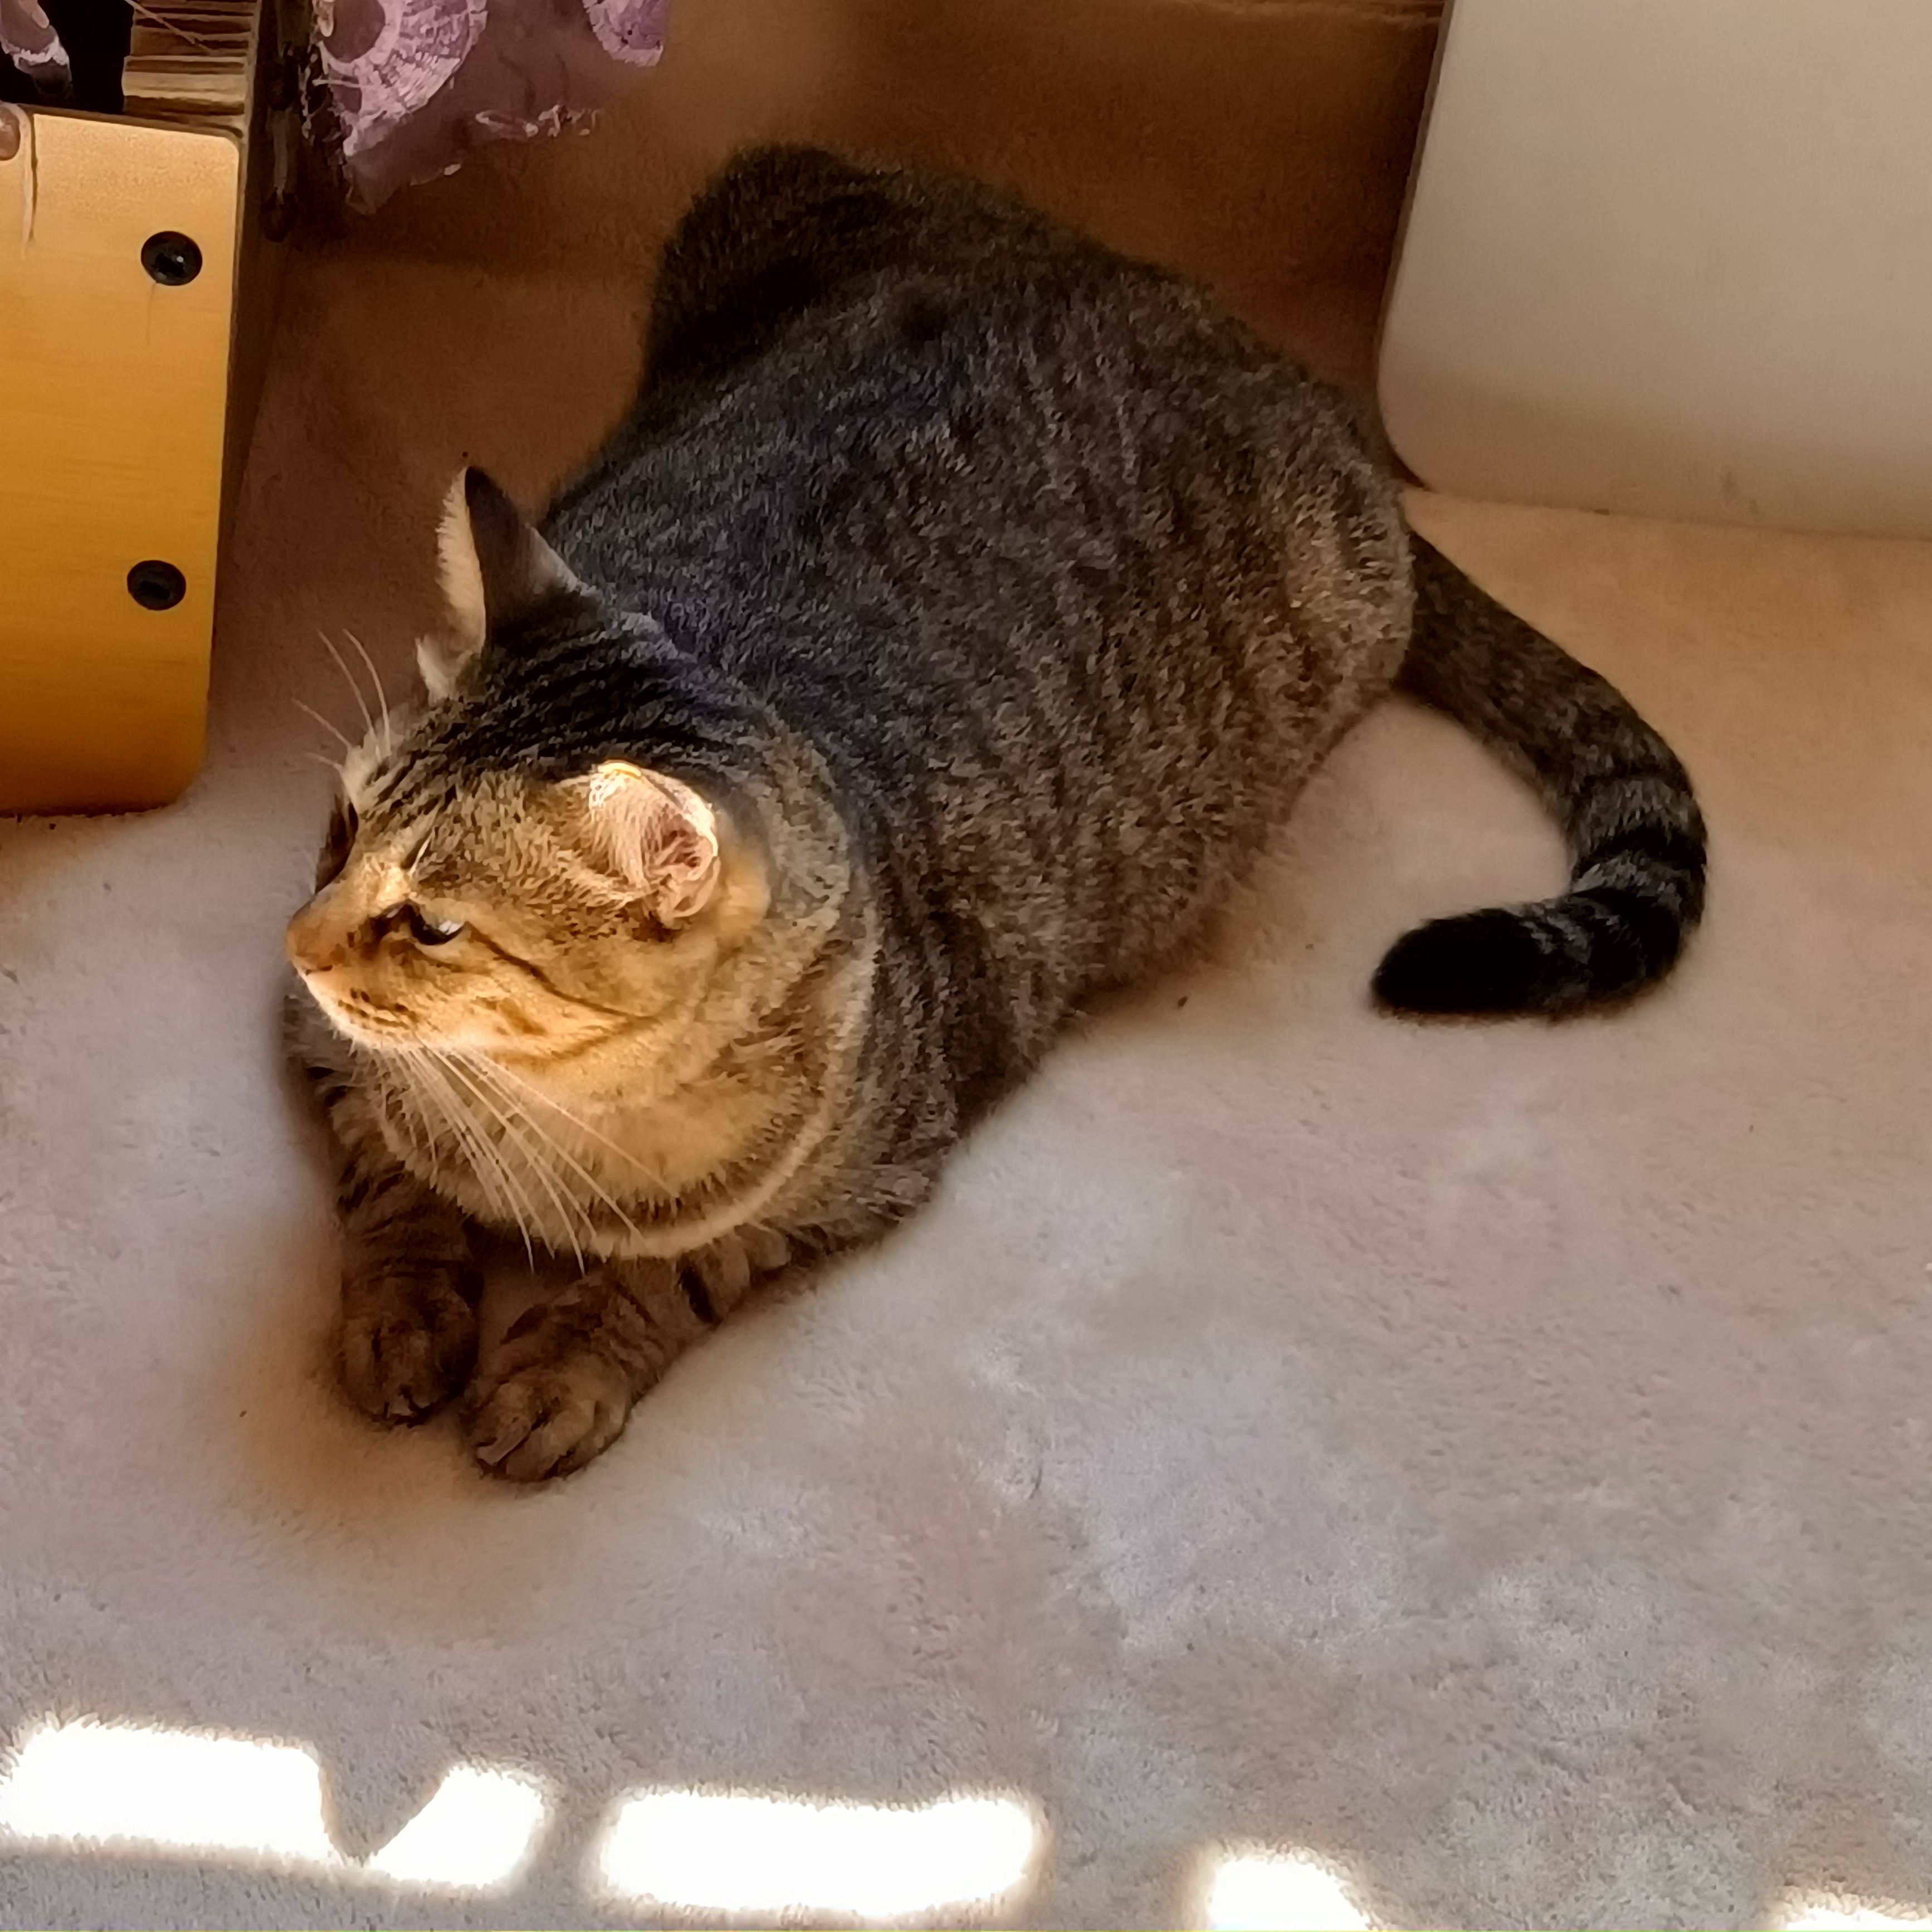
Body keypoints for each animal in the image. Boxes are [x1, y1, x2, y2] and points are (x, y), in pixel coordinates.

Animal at [286, 144, 1706, 1481]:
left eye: (433, 924)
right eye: (342, 831)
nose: (297, 943)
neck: (544, 1120)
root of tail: (1296, 375)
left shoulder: (858, 1174)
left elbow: (676, 1270)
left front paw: (565, 1361)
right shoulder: (327, 1058)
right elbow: (389, 1176)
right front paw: (404, 1307)